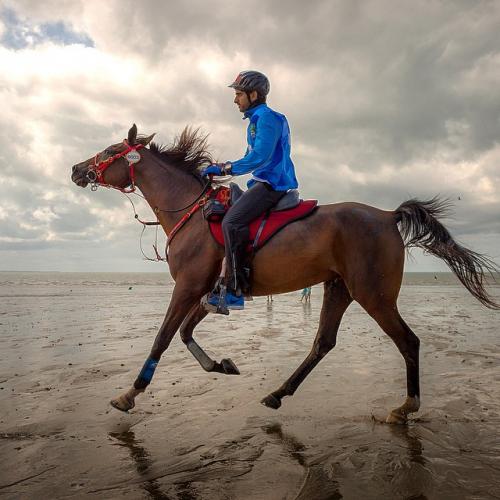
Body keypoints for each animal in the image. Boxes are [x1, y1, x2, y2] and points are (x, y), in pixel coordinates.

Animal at [70, 125, 500, 426]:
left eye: (111, 151)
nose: (76, 169)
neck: (191, 210)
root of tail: (387, 215)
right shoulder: (208, 293)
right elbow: (186, 334)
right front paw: (220, 365)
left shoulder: (188, 287)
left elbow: (163, 337)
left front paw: (130, 394)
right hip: (339, 287)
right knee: (323, 343)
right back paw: (278, 393)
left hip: (374, 294)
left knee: (408, 342)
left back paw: (405, 407)